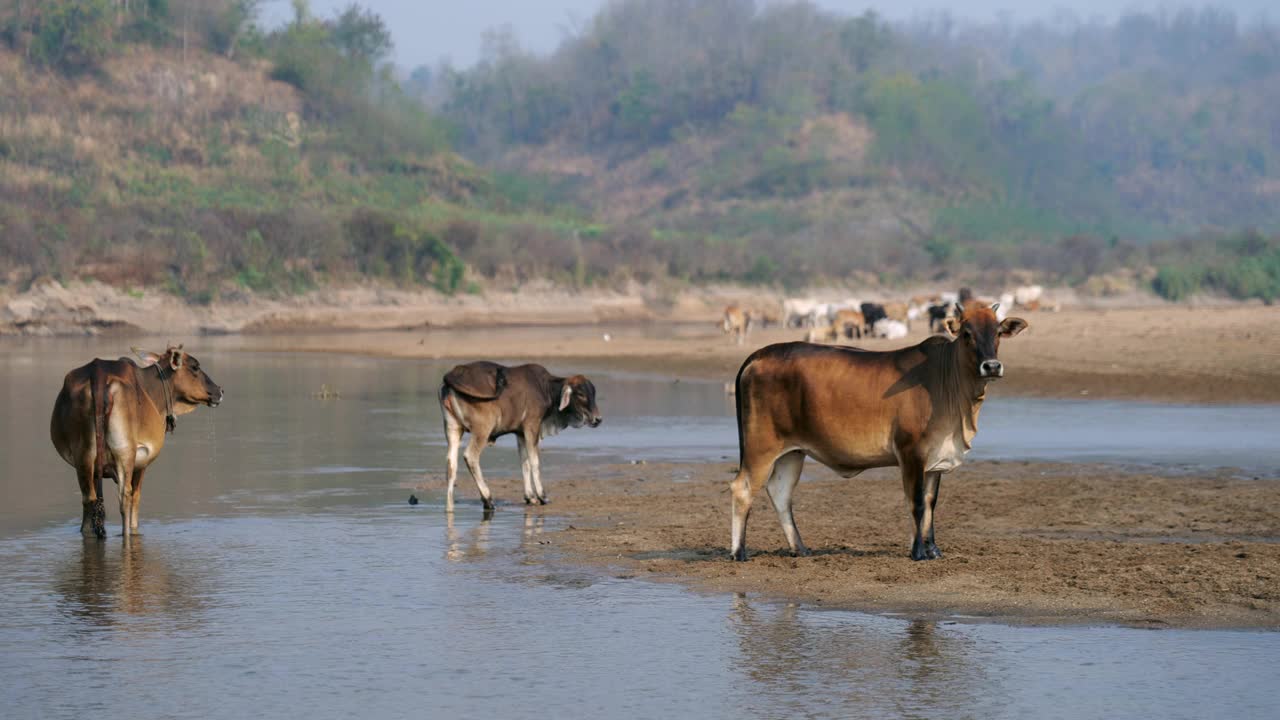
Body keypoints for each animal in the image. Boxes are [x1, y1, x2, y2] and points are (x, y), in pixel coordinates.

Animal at [50, 345, 222, 535]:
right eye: (195, 367)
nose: (219, 391)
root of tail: (98, 372)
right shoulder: (142, 462)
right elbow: (136, 498)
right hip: (125, 453)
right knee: (125, 498)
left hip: (84, 457)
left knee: (89, 499)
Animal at [437, 361, 601, 507]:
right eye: (581, 394)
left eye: (593, 393)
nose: (598, 419)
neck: (545, 388)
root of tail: (453, 373)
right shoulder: (531, 426)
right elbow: (534, 462)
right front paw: (542, 496)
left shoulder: (520, 433)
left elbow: (524, 462)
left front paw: (530, 497)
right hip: (482, 430)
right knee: (470, 456)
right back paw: (488, 499)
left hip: (452, 428)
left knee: (451, 465)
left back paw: (450, 504)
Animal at [732, 302, 1029, 561]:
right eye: (967, 333)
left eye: (998, 332)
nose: (992, 366)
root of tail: (760, 354)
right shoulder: (911, 452)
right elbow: (916, 502)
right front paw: (918, 552)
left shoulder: (935, 459)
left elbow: (930, 503)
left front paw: (933, 549)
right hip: (761, 446)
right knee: (742, 488)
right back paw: (739, 552)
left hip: (792, 452)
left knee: (780, 493)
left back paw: (800, 548)